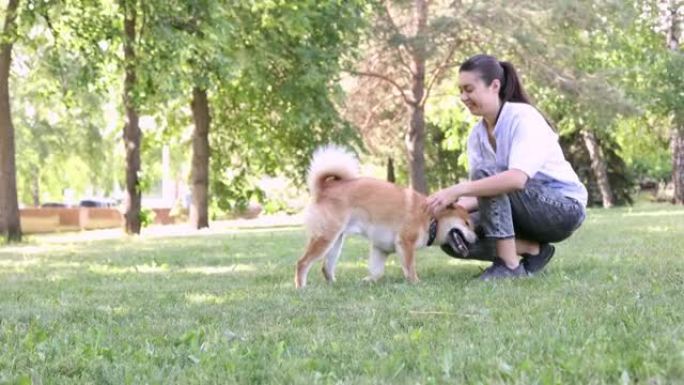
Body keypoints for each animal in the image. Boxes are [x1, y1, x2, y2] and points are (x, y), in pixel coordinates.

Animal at [294, 146, 476, 286]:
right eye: (467, 223)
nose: (476, 238)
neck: (430, 218)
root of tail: (324, 188)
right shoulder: (405, 243)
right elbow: (410, 267)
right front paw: (416, 282)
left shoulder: (380, 249)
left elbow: (377, 271)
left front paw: (367, 281)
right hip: (325, 238)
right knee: (302, 263)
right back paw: (301, 288)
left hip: (336, 241)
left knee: (326, 267)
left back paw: (334, 285)